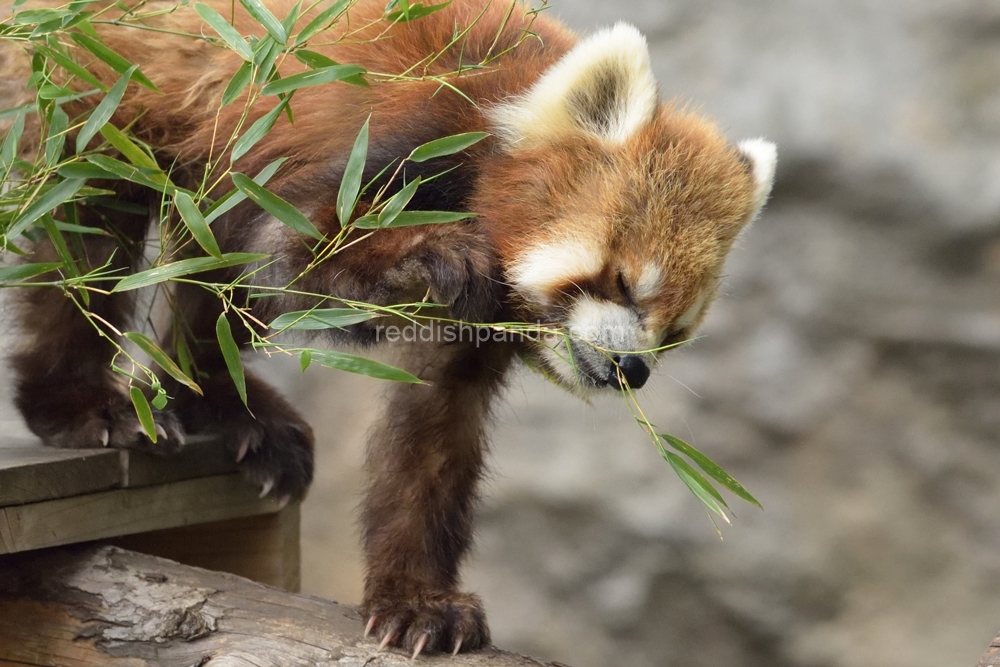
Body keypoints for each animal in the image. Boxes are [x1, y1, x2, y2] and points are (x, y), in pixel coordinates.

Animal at [1, 0, 772, 656]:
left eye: (672, 332)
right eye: (621, 282)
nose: (630, 369)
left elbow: (432, 431)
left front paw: (418, 602)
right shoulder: (397, 142)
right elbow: (298, 255)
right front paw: (438, 254)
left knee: (209, 278)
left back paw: (222, 403)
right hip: (101, 87)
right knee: (89, 230)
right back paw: (79, 404)